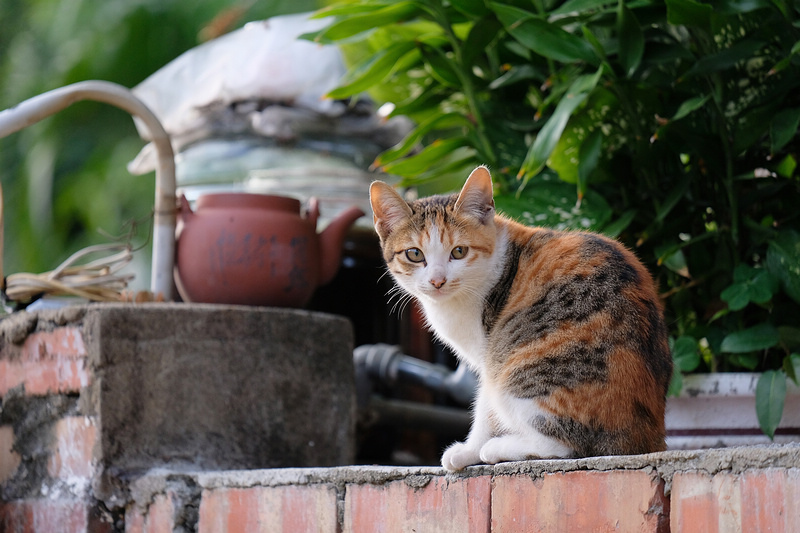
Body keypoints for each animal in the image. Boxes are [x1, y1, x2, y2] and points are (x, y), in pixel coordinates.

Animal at [370, 166, 676, 470]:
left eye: (459, 251)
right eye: (414, 254)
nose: (437, 281)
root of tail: (646, 437)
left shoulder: (489, 357)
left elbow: (484, 407)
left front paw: (468, 451)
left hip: (519, 370)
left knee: (568, 446)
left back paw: (496, 448)